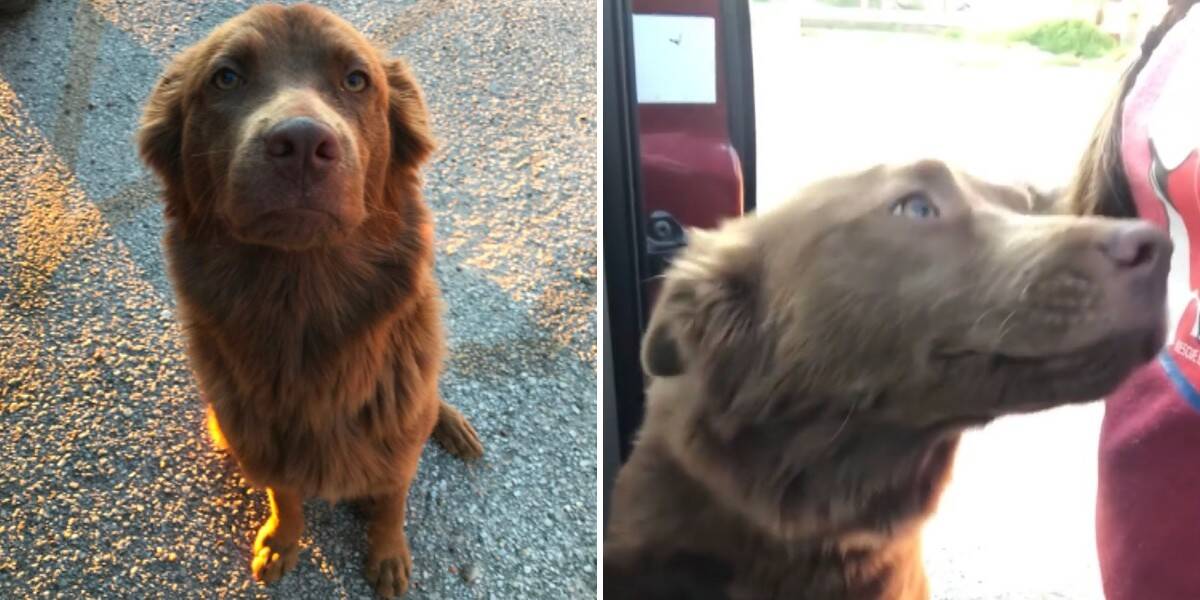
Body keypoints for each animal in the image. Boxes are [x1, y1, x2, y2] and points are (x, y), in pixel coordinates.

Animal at [137, 3, 482, 595]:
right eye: (226, 77)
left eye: (357, 80)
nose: (300, 144)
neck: (301, 303)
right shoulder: (263, 442)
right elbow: (286, 494)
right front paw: (282, 541)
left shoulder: (396, 440)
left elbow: (393, 499)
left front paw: (388, 554)